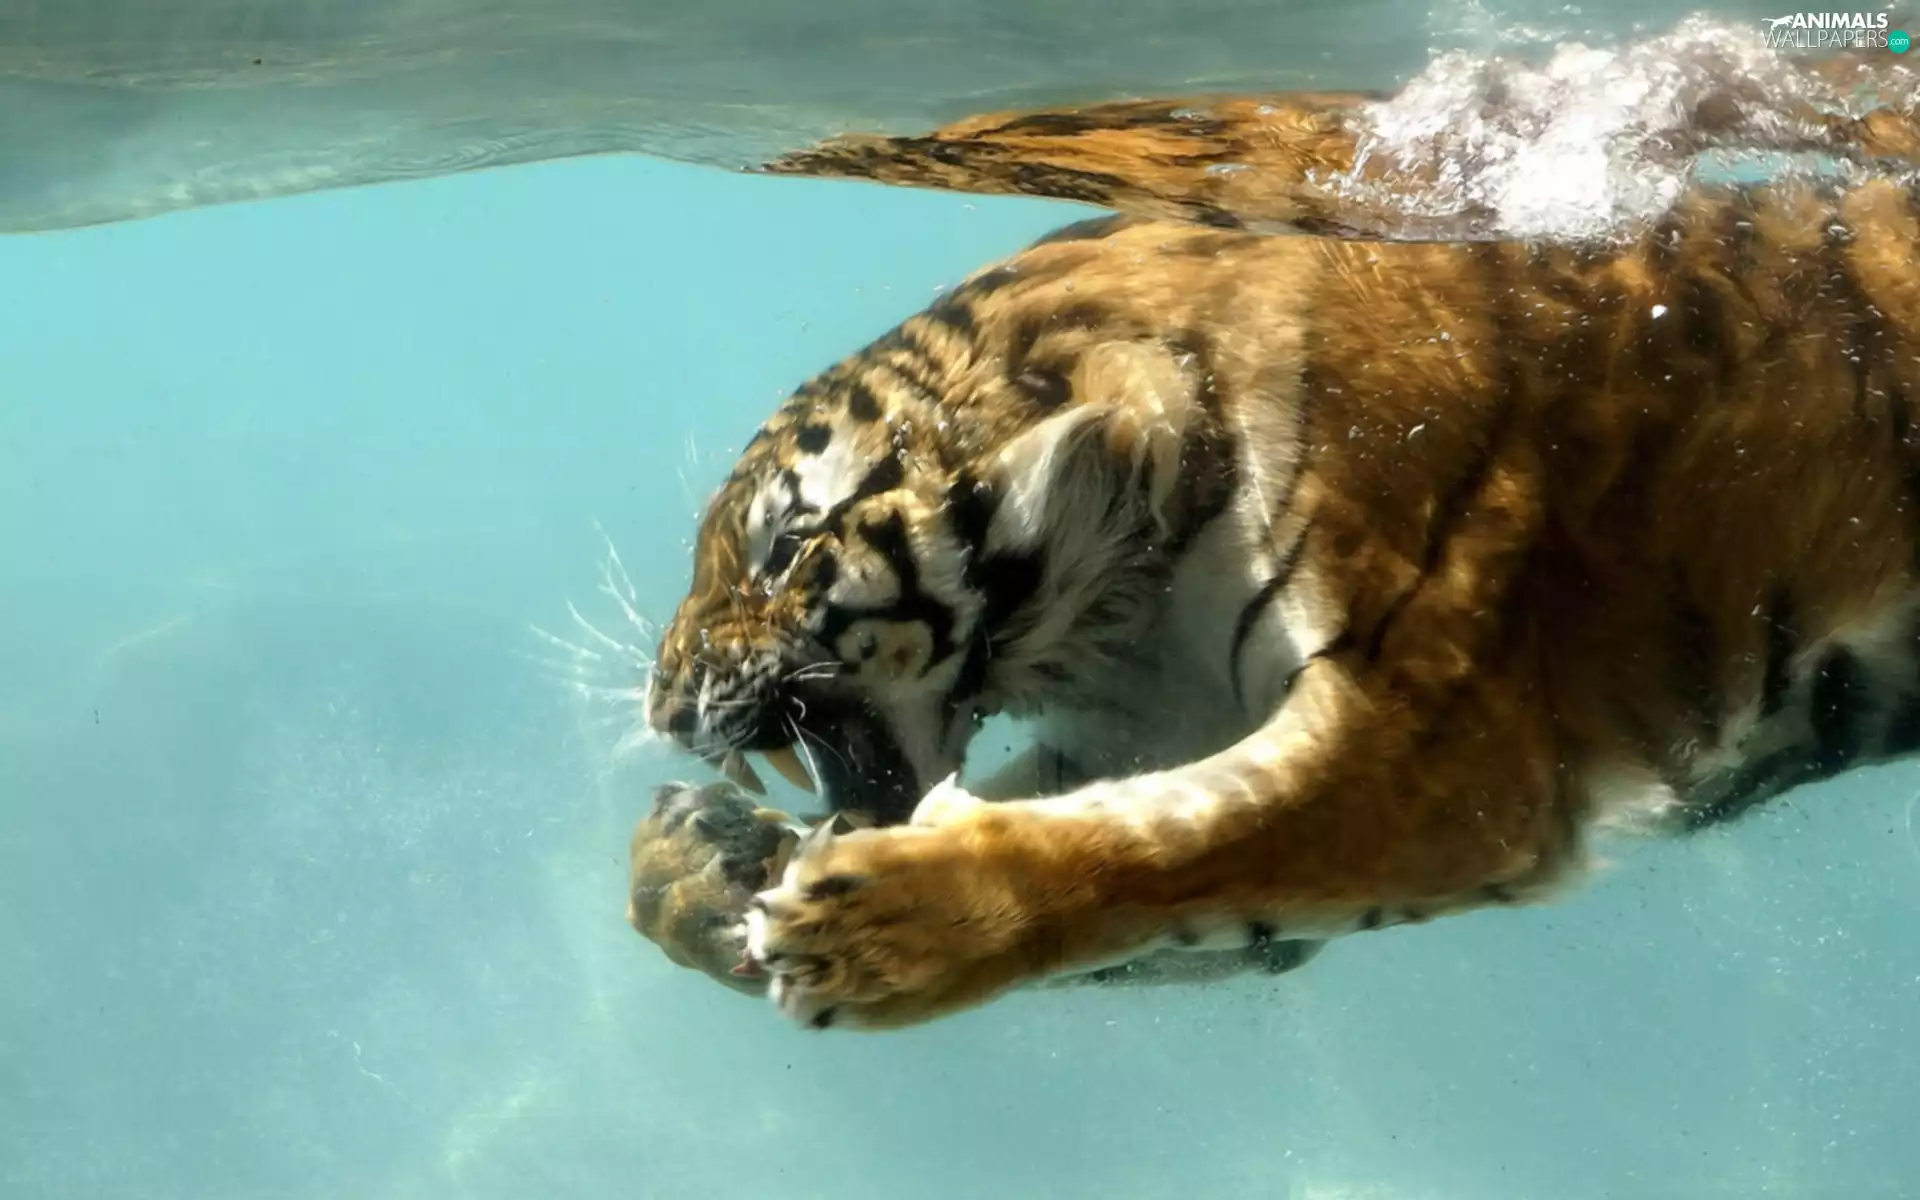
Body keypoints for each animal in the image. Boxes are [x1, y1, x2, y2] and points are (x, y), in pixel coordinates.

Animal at [624, 172, 1920, 1032]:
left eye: (784, 545)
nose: (663, 703)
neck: (1131, 587)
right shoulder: (1162, 719)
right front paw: (694, 871)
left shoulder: (1440, 756)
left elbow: (1166, 844)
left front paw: (873, 934)